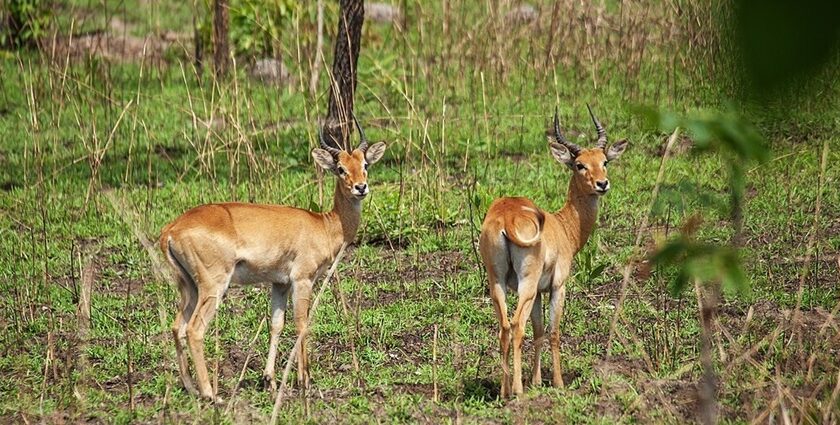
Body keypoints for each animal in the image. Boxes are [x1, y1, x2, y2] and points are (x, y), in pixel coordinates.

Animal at [158, 117, 388, 400]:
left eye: (364, 164)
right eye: (341, 168)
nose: (361, 187)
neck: (324, 225)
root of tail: (171, 229)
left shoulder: (279, 283)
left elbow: (276, 324)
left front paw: (269, 380)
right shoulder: (302, 279)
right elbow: (302, 324)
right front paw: (304, 381)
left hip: (189, 286)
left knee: (177, 327)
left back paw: (191, 388)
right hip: (213, 285)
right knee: (194, 329)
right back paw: (211, 394)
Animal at [480, 104, 632, 396]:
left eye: (604, 161)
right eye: (579, 164)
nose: (602, 184)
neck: (563, 226)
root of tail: (505, 217)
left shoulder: (539, 292)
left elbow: (539, 332)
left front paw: (538, 381)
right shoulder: (557, 286)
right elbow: (553, 332)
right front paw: (558, 383)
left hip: (498, 283)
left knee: (504, 326)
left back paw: (504, 391)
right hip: (525, 285)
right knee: (516, 325)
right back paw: (517, 391)